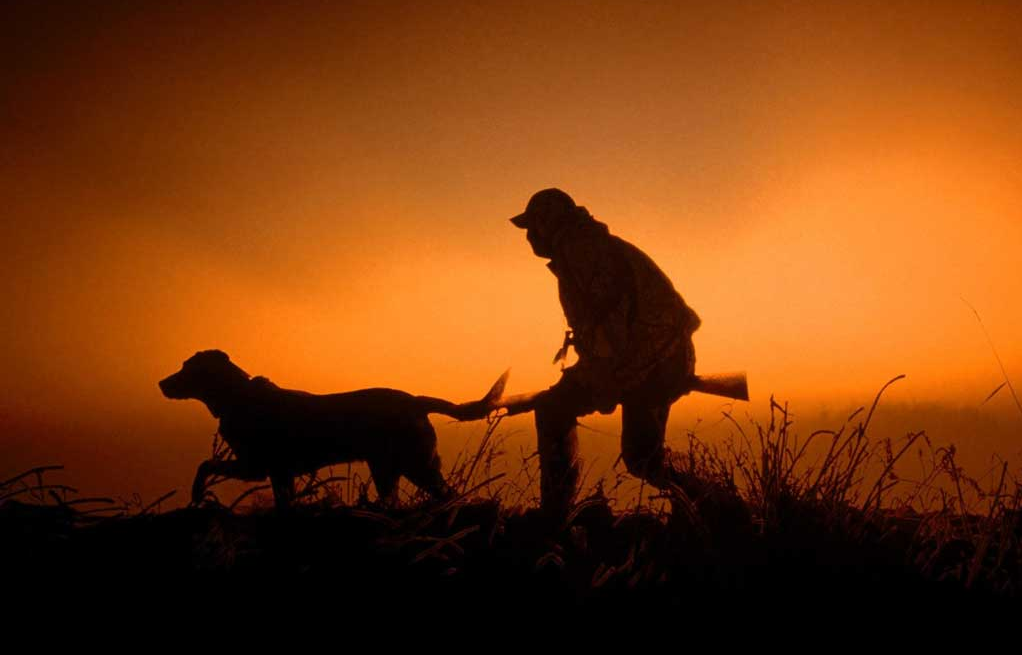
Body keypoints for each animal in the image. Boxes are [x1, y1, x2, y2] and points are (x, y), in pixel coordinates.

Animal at [159, 349, 506, 508]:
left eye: (188, 368)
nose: (161, 383)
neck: (238, 397)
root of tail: (416, 401)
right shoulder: (275, 471)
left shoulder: (254, 466)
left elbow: (205, 464)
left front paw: (197, 493)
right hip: (389, 469)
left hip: (416, 465)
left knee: (449, 496)